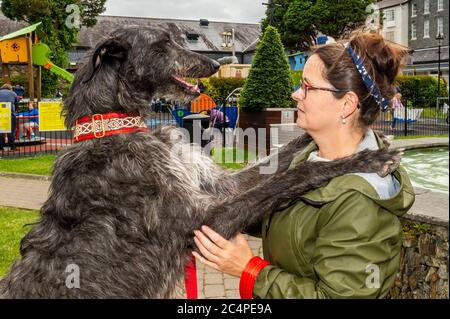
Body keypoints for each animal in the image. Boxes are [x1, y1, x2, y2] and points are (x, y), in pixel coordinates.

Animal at [0, 26, 400, 298]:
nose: (217, 62)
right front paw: (369, 157)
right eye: (163, 44)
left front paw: (323, 137)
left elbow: (277, 161)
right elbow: (295, 175)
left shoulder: (217, 187)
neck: (113, 124)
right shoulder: (201, 220)